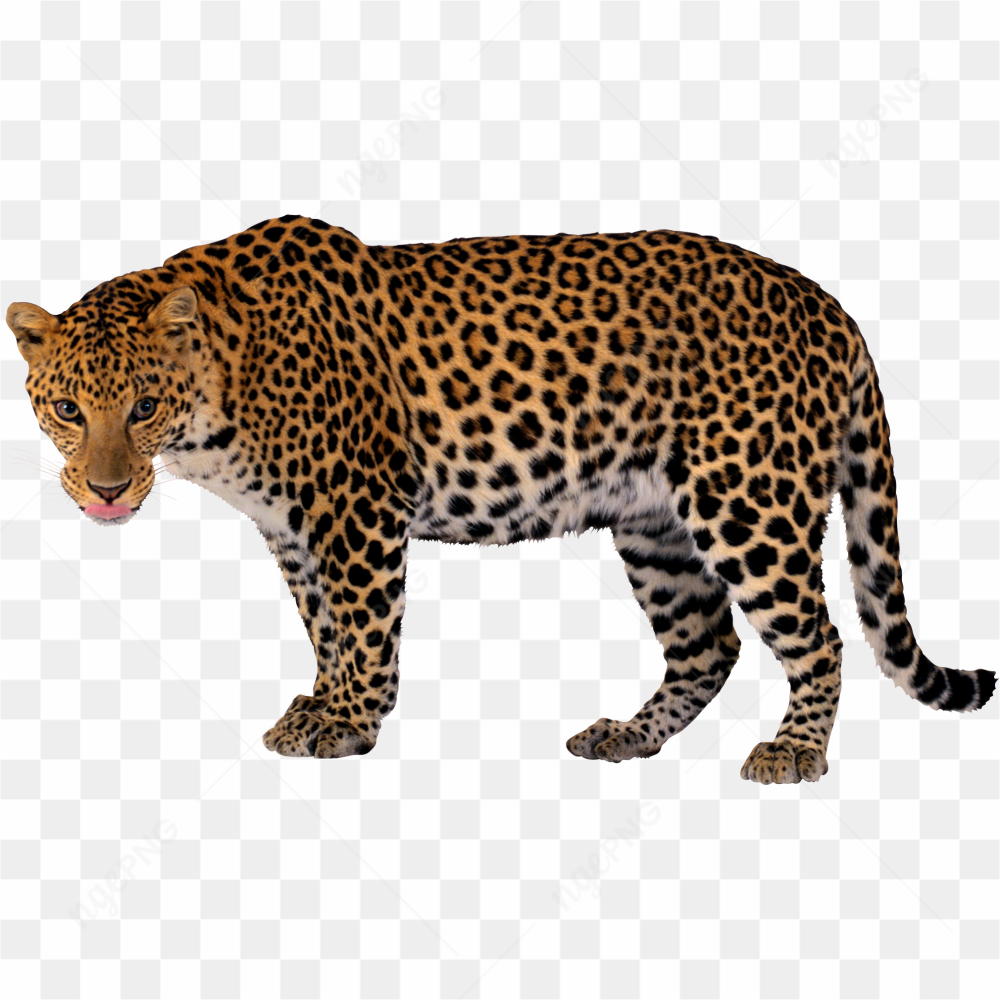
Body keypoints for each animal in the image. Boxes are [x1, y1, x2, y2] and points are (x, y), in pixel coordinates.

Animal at [7, 215, 995, 784]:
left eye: (142, 406)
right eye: (67, 409)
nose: (105, 490)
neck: (224, 387)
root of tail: (830, 304)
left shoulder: (359, 507)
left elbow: (364, 624)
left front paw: (350, 724)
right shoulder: (293, 531)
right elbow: (324, 626)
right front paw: (321, 704)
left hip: (748, 499)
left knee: (819, 636)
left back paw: (796, 751)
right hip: (654, 525)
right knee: (706, 646)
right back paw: (628, 738)